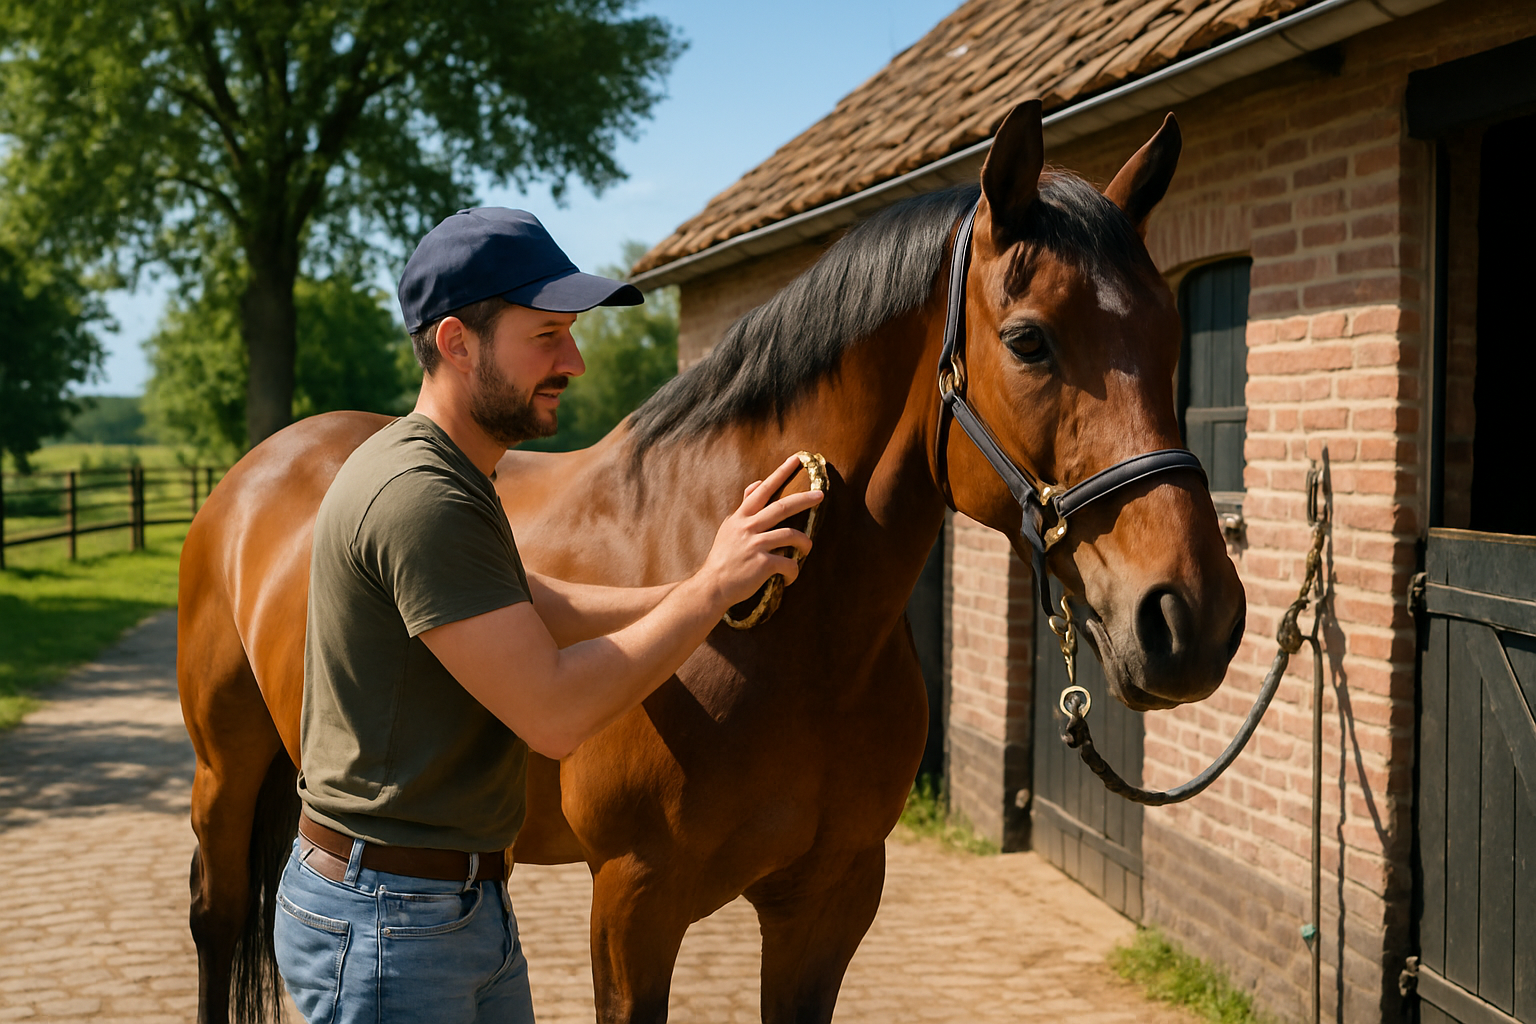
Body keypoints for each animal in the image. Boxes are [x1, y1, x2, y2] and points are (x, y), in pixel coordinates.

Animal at [176, 99, 1246, 1024]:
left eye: (1172, 333)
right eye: (1029, 341)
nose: (1190, 619)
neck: (802, 645)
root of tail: (261, 467)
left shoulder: (831, 898)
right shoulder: (634, 903)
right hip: (226, 768)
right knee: (216, 916)